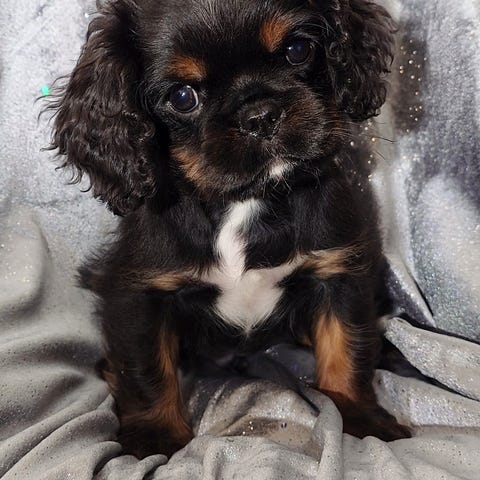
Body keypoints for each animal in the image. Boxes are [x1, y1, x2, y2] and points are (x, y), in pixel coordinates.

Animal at [50, 0, 411, 458]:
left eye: (296, 50)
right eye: (183, 96)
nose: (260, 116)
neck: (245, 201)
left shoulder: (341, 271)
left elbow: (347, 346)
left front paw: (359, 416)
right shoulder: (137, 293)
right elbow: (146, 369)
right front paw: (155, 436)